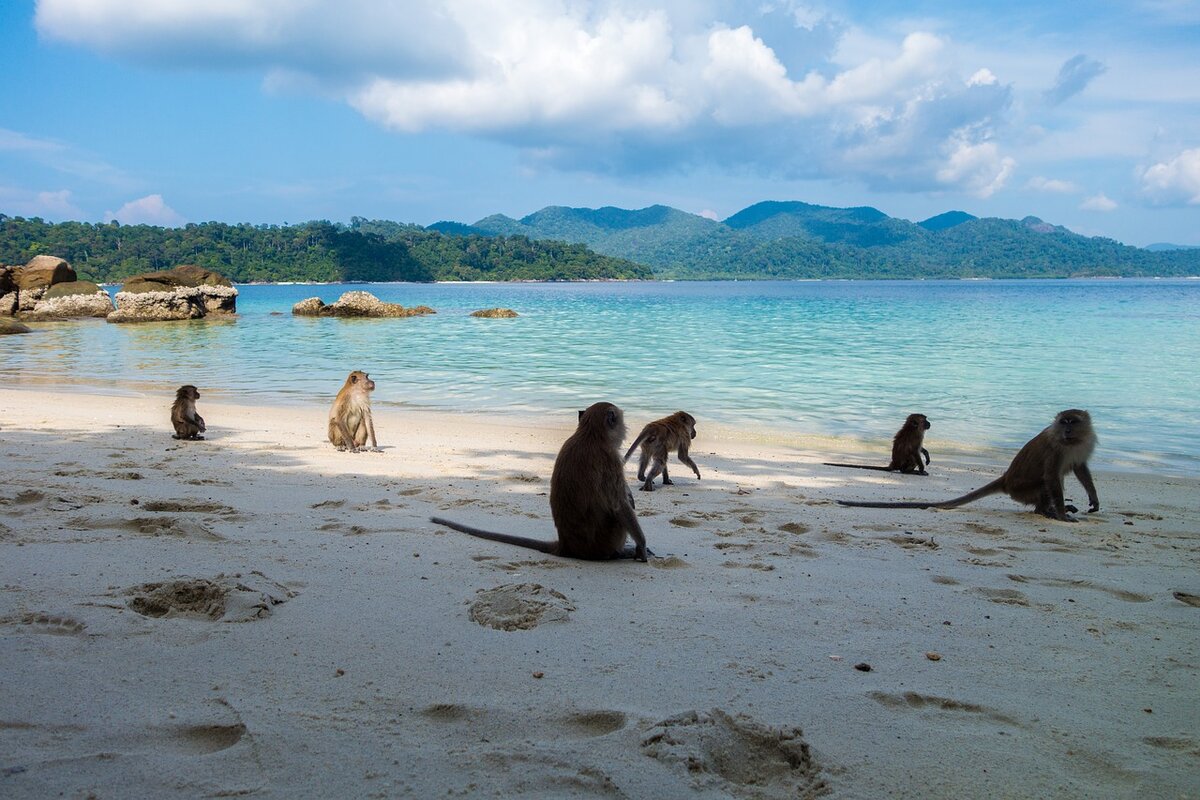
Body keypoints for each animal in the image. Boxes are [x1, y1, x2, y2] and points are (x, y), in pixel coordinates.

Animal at [436, 400, 652, 563]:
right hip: (606, 540)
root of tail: (566, 546)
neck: (590, 434)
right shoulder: (610, 459)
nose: (625, 428)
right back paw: (619, 553)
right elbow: (619, 505)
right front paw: (641, 546)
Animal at [835, 410, 1099, 522]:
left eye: (1073, 422)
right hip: (1025, 489)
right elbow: (1052, 475)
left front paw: (1093, 500)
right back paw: (1048, 511)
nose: (1066, 430)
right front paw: (1063, 515)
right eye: (1064, 422)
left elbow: (1080, 468)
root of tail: (1006, 479)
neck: (1071, 442)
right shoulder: (1056, 449)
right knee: (1047, 480)